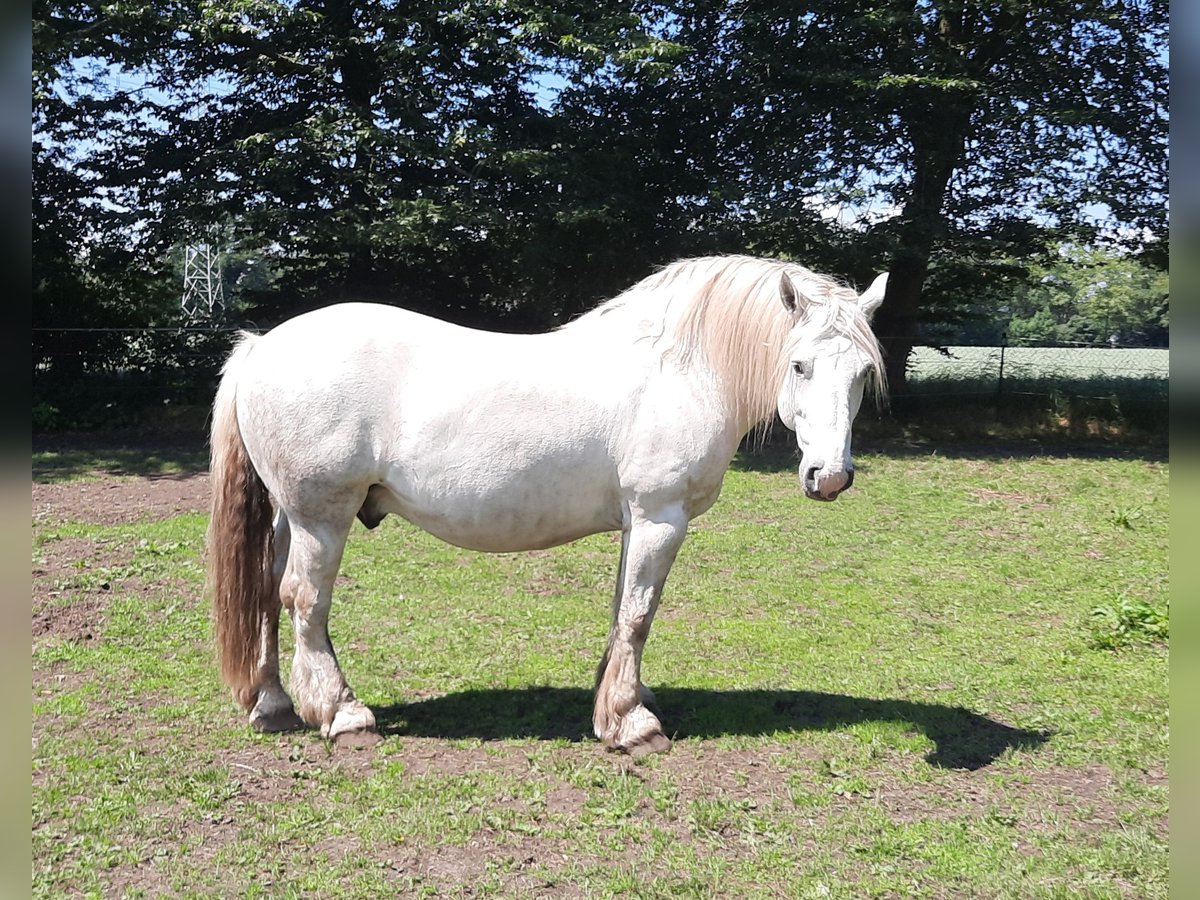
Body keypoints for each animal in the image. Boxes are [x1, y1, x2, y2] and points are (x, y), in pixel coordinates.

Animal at [204, 256, 883, 758]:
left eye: (860, 374)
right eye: (800, 364)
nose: (829, 477)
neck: (681, 370)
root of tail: (261, 346)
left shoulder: (637, 522)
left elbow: (622, 611)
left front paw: (618, 703)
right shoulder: (661, 517)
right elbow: (640, 614)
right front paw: (633, 726)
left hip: (292, 518)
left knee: (267, 595)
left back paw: (273, 705)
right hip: (322, 517)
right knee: (305, 600)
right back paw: (342, 714)